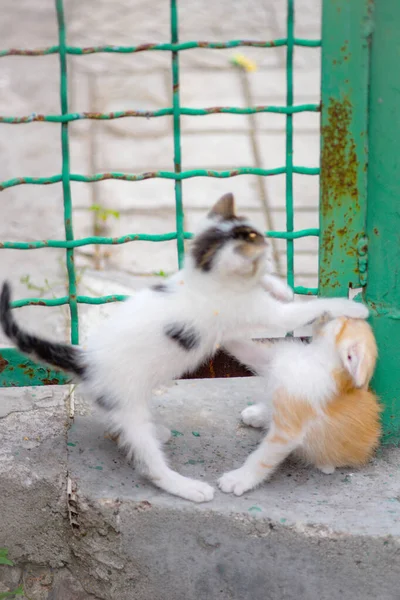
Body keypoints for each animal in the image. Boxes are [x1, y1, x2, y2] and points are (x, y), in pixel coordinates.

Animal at [222, 314, 382, 496]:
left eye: (346, 321)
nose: (329, 314)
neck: (315, 360)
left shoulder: (288, 430)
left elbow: (262, 457)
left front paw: (239, 478)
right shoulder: (268, 359)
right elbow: (244, 348)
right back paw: (257, 414)